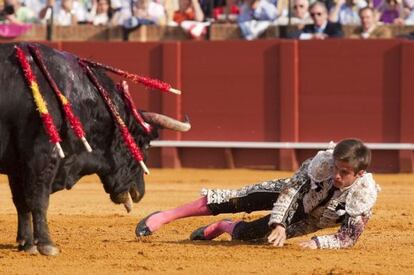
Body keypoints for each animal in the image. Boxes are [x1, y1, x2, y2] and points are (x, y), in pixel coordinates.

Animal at [0, 43, 190, 256]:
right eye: (145, 144)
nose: (140, 193)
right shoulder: (41, 157)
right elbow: (39, 199)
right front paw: (47, 245)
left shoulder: (18, 164)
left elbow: (21, 201)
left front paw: (27, 243)